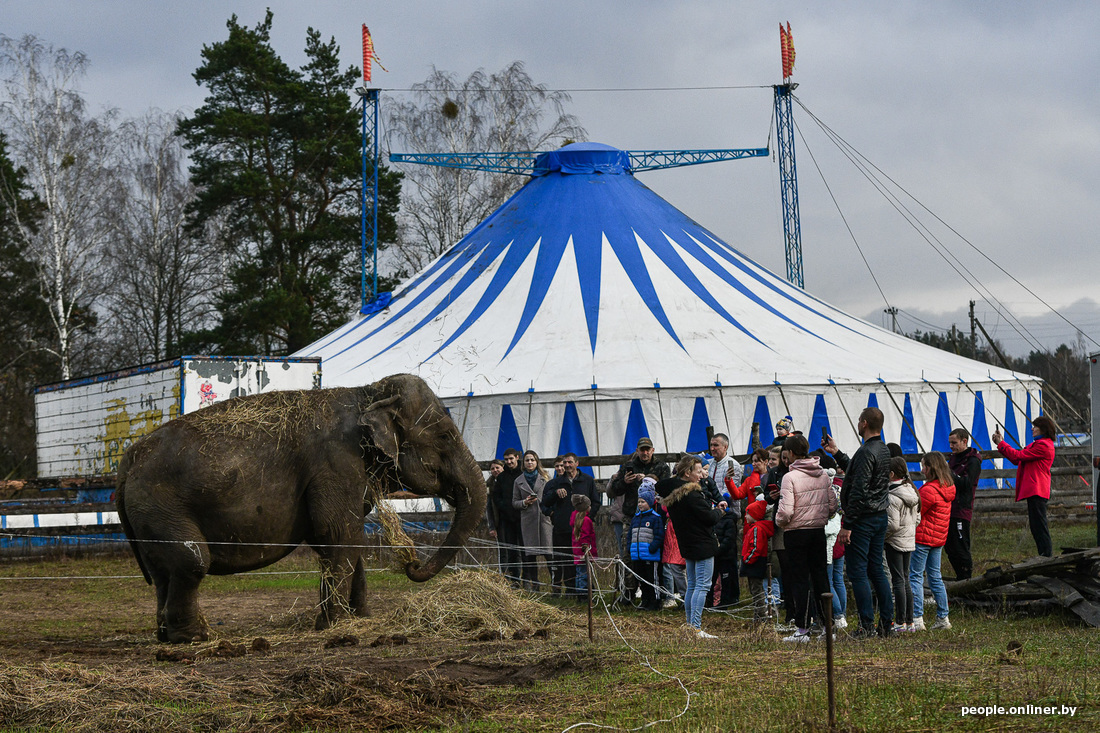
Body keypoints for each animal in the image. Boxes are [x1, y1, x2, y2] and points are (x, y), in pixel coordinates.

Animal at [114, 372, 486, 638]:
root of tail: (128, 459)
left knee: (164, 572)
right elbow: (338, 534)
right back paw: (196, 637)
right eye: (445, 436)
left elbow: (344, 540)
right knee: (192, 562)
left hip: (149, 516)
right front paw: (335, 625)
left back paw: (167, 635)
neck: (367, 393)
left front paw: (358, 618)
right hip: (161, 506)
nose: (411, 562)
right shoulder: (336, 462)